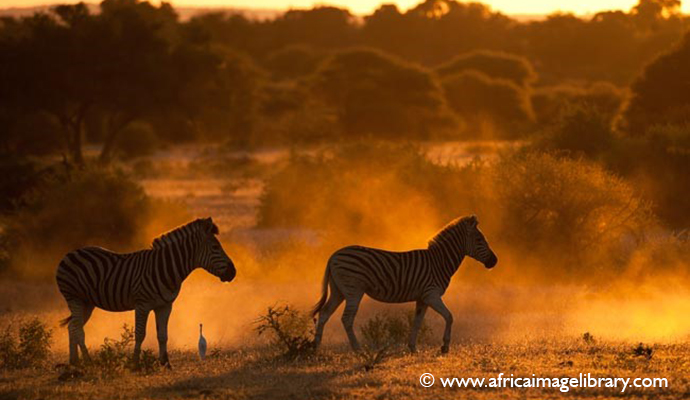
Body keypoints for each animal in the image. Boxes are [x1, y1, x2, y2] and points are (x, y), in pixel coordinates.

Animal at [57, 219, 234, 366]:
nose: (234, 272)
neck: (165, 269)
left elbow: (163, 335)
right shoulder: (142, 304)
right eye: (215, 247)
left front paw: (165, 363)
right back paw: (88, 362)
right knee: (77, 329)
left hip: (87, 302)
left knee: (72, 327)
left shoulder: (165, 306)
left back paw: (75, 362)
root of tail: (70, 253)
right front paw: (135, 364)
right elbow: (140, 334)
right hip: (74, 297)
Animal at [310, 216, 494, 354]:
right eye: (479, 239)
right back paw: (358, 349)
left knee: (324, 313)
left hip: (338, 290)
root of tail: (333, 255)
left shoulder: (422, 298)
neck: (439, 262)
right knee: (347, 318)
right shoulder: (431, 294)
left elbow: (417, 321)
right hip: (354, 290)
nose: (495, 261)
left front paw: (412, 348)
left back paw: (315, 347)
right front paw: (445, 346)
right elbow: (449, 316)